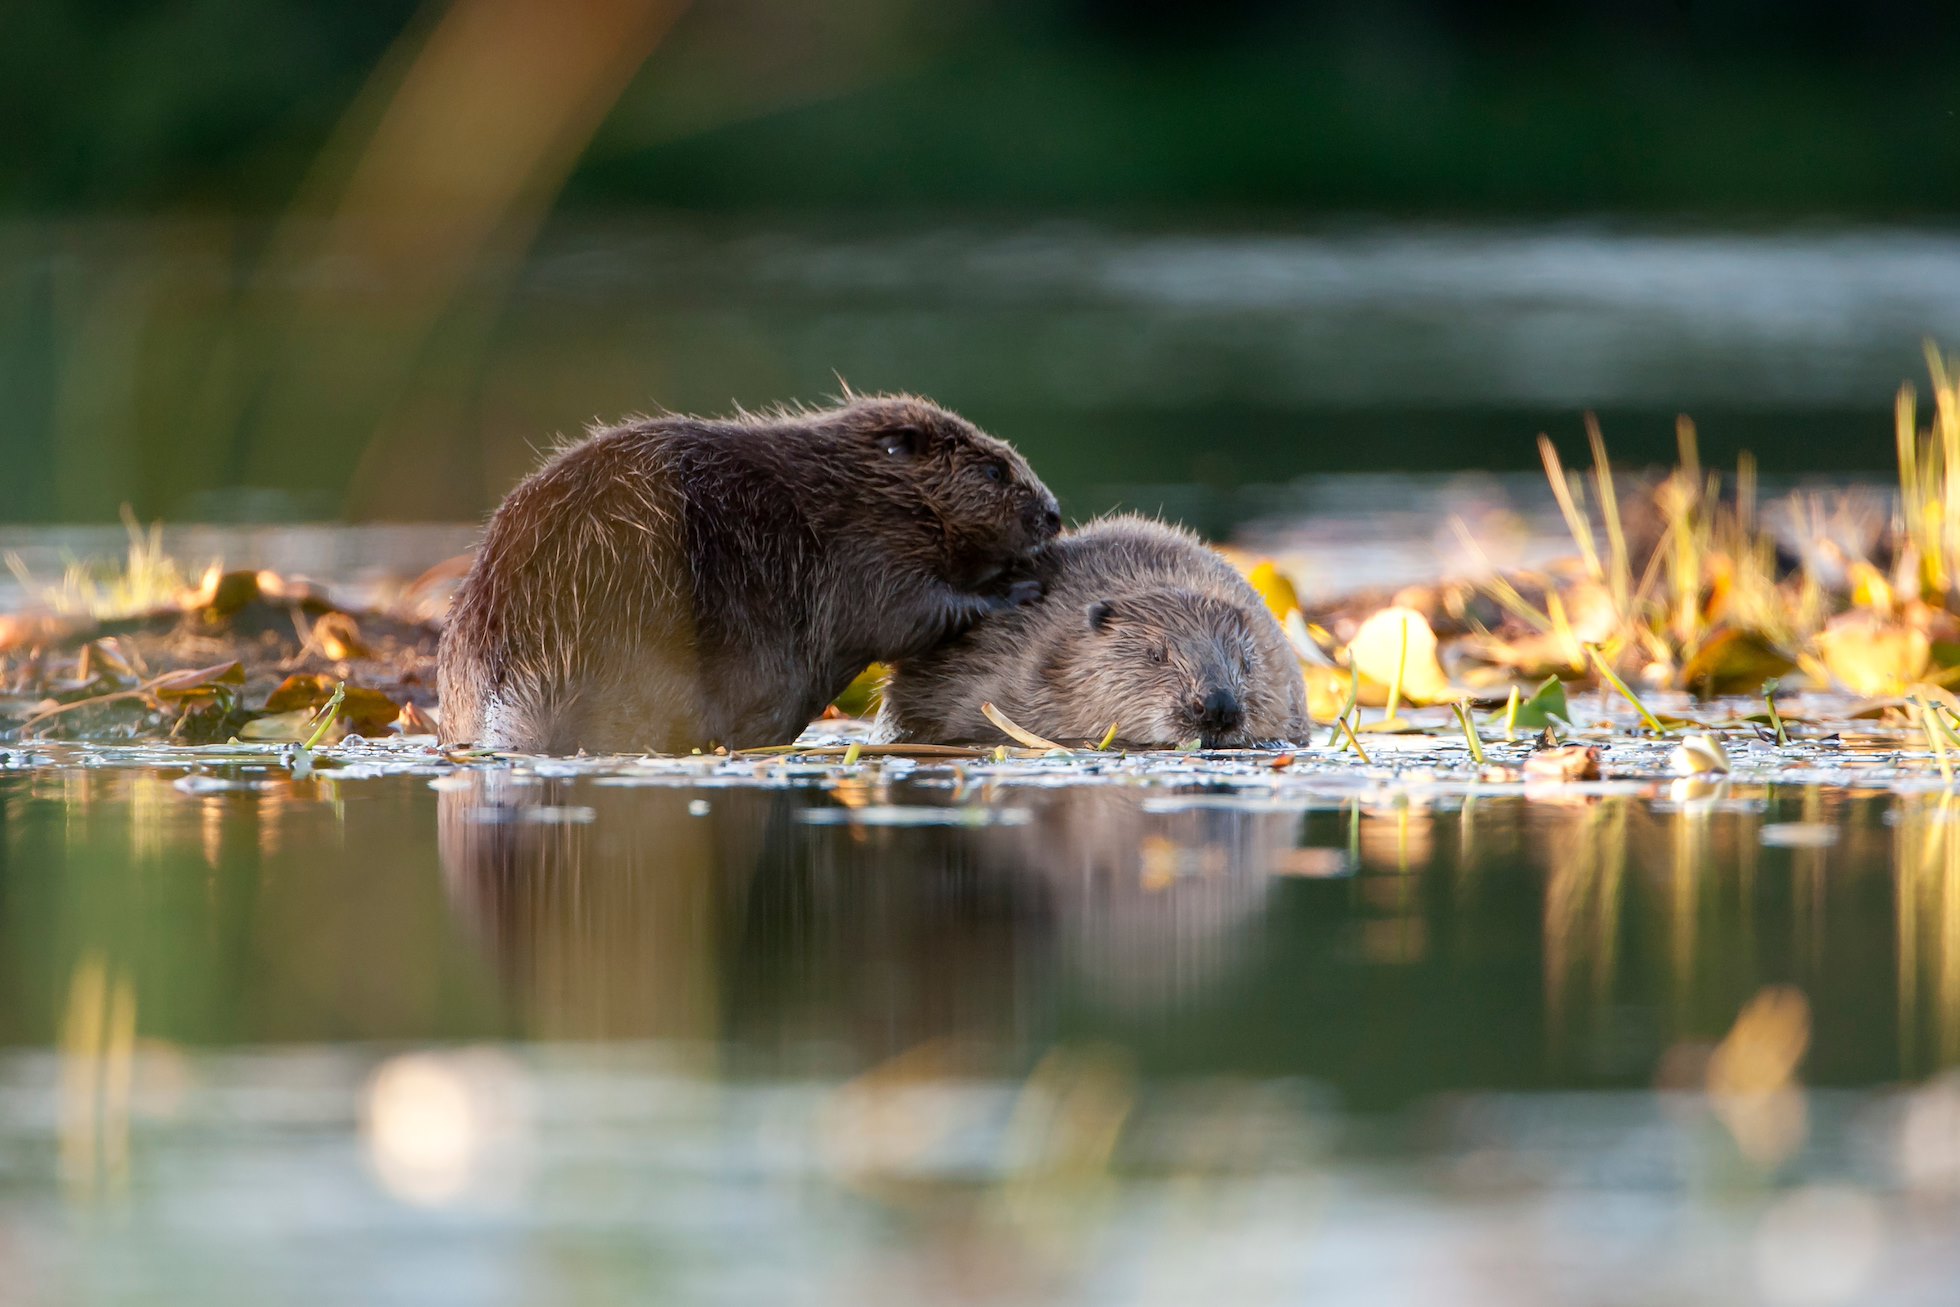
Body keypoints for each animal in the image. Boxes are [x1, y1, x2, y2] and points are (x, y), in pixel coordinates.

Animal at [439, 391, 1066, 756]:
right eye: (994, 469)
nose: (1054, 513)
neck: (848, 489)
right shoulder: (864, 552)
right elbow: (906, 615)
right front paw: (1017, 588)